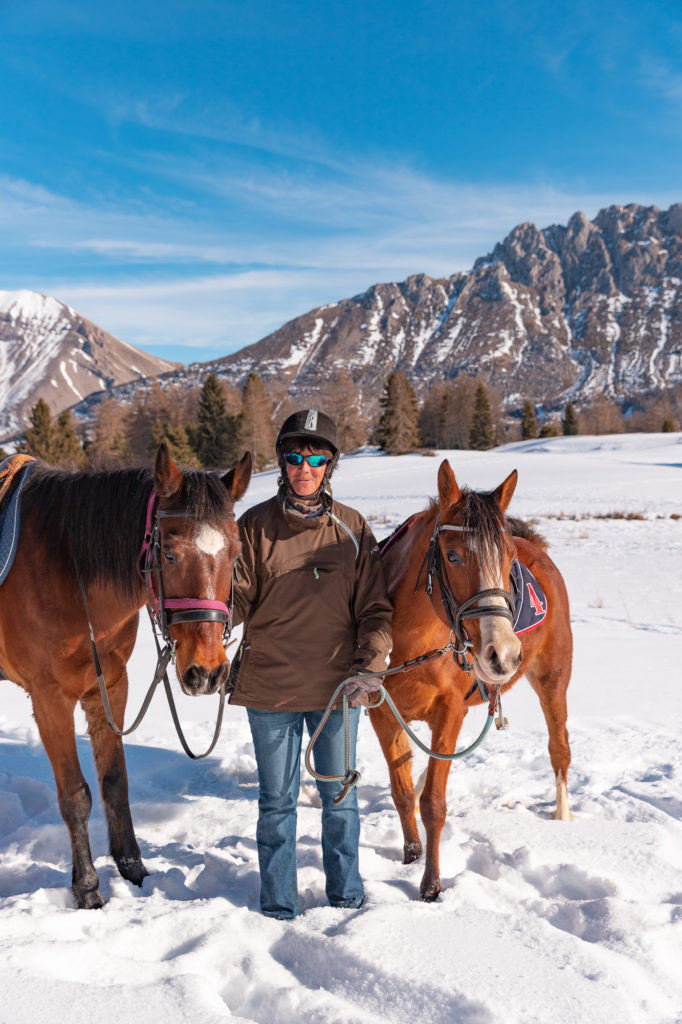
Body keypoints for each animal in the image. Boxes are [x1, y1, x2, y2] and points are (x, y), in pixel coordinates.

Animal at [0, 444, 250, 909]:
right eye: (169, 554)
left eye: (237, 553)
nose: (207, 671)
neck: (66, 568)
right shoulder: (50, 699)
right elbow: (75, 796)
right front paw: (87, 889)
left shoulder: (111, 685)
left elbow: (115, 782)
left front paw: (132, 868)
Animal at [368, 460, 569, 901]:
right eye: (453, 555)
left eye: (508, 559)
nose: (504, 653)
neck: (412, 644)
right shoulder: (381, 713)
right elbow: (403, 792)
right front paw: (411, 855)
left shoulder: (450, 714)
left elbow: (434, 804)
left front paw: (431, 885)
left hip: (553, 681)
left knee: (559, 750)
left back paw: (562, 816)